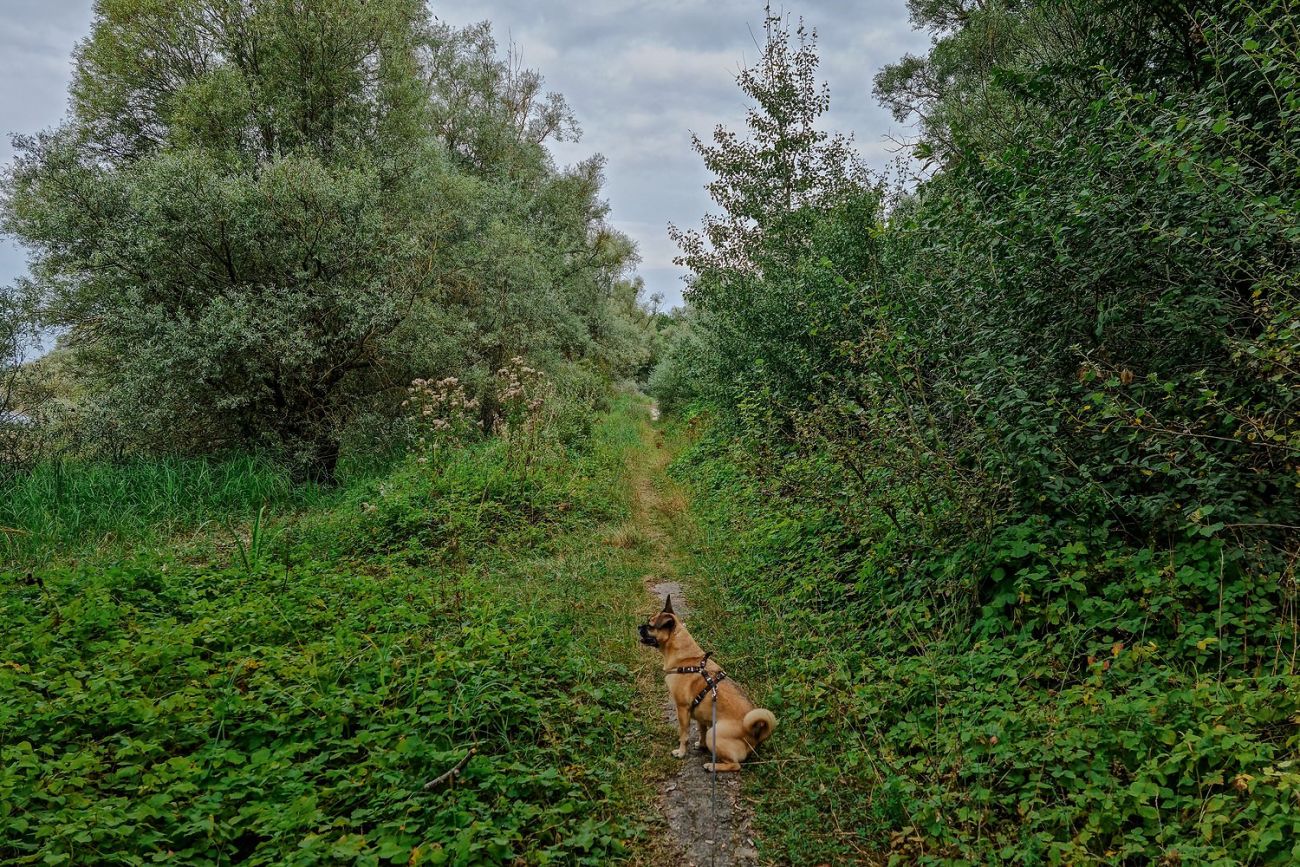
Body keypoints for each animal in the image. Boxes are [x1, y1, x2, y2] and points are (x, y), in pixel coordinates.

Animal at [637, 592, 774, 769]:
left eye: (650, 626)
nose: (639, 627)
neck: (687, 659)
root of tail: (754, 735)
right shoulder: (700, 714)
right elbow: (700, 731)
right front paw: (701, 745)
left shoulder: (682, 709)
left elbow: (684, 735)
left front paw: (681, 752)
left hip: (714, 734)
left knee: (735, 765)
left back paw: (712, 766)